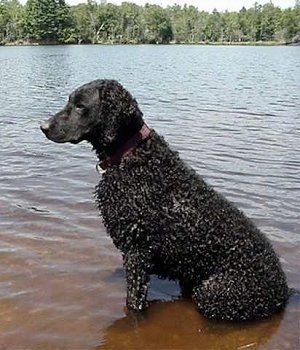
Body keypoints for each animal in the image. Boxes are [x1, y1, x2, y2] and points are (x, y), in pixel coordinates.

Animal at [40, 80, 288, 322]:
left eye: (80, 106)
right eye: (69, 101)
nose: (43, 126)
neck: (132, 154)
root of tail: (285, 290)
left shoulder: (136, 253)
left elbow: (134, 303)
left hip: (212, 293)